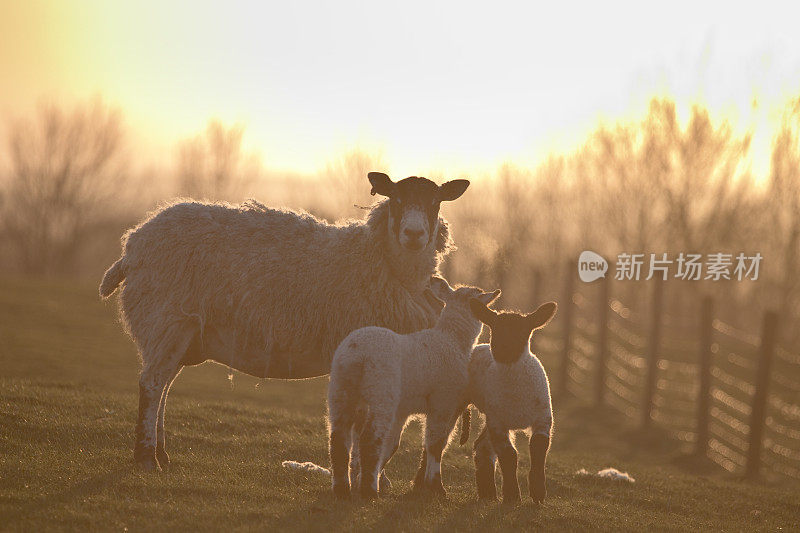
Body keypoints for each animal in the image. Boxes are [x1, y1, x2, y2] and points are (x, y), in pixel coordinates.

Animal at [97, 171, 468, 470]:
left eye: (435, 202)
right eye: (396, 199)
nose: (414, 234)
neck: (384, 264)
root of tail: (132, 246)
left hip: (180, 331)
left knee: (164, 386)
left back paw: (161, 454)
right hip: (166, 318)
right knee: (151, 385)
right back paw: (146, 458)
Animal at [328, 276, 496, 496]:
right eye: (478, 295)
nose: (495, 294)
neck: (452, 339)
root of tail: (357, 353)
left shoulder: (403, 410)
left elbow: (392, 445)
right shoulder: (443, 400)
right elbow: (435, 444)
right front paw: (436, 487)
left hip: (341, 387)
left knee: (338, 438)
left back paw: (343, 489)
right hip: (382, 389)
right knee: (370, 439)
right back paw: (369, 491)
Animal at [466, 300, 560, 502]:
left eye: (524, 331)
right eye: (494, 328)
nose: (502, 352)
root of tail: (479, 346)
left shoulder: (543, 418)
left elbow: (538, 447)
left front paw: (538, 492)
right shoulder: (498, 423)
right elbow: (509, 455)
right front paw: (512, 495)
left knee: (482, 446)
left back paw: (488, 494)